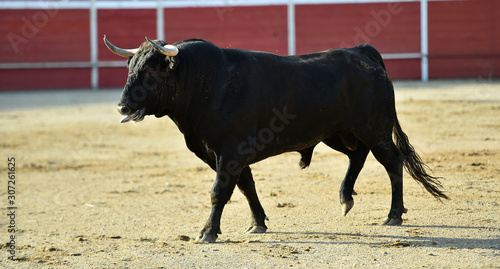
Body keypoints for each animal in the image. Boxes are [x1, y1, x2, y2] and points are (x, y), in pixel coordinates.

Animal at [103, 36, 448, 243]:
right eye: (130, 69)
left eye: (151, 73)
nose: (122, 106)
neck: (205, 83)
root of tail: (361, 51)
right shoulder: (227, 155)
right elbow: (246, 187)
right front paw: (258, 223)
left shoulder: (229, 152)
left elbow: (219, 192)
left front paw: (207, 232)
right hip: (337, 132)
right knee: (358, 155)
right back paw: (345, 198)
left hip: (375, 129)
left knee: (392, 162)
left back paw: (393, 215)